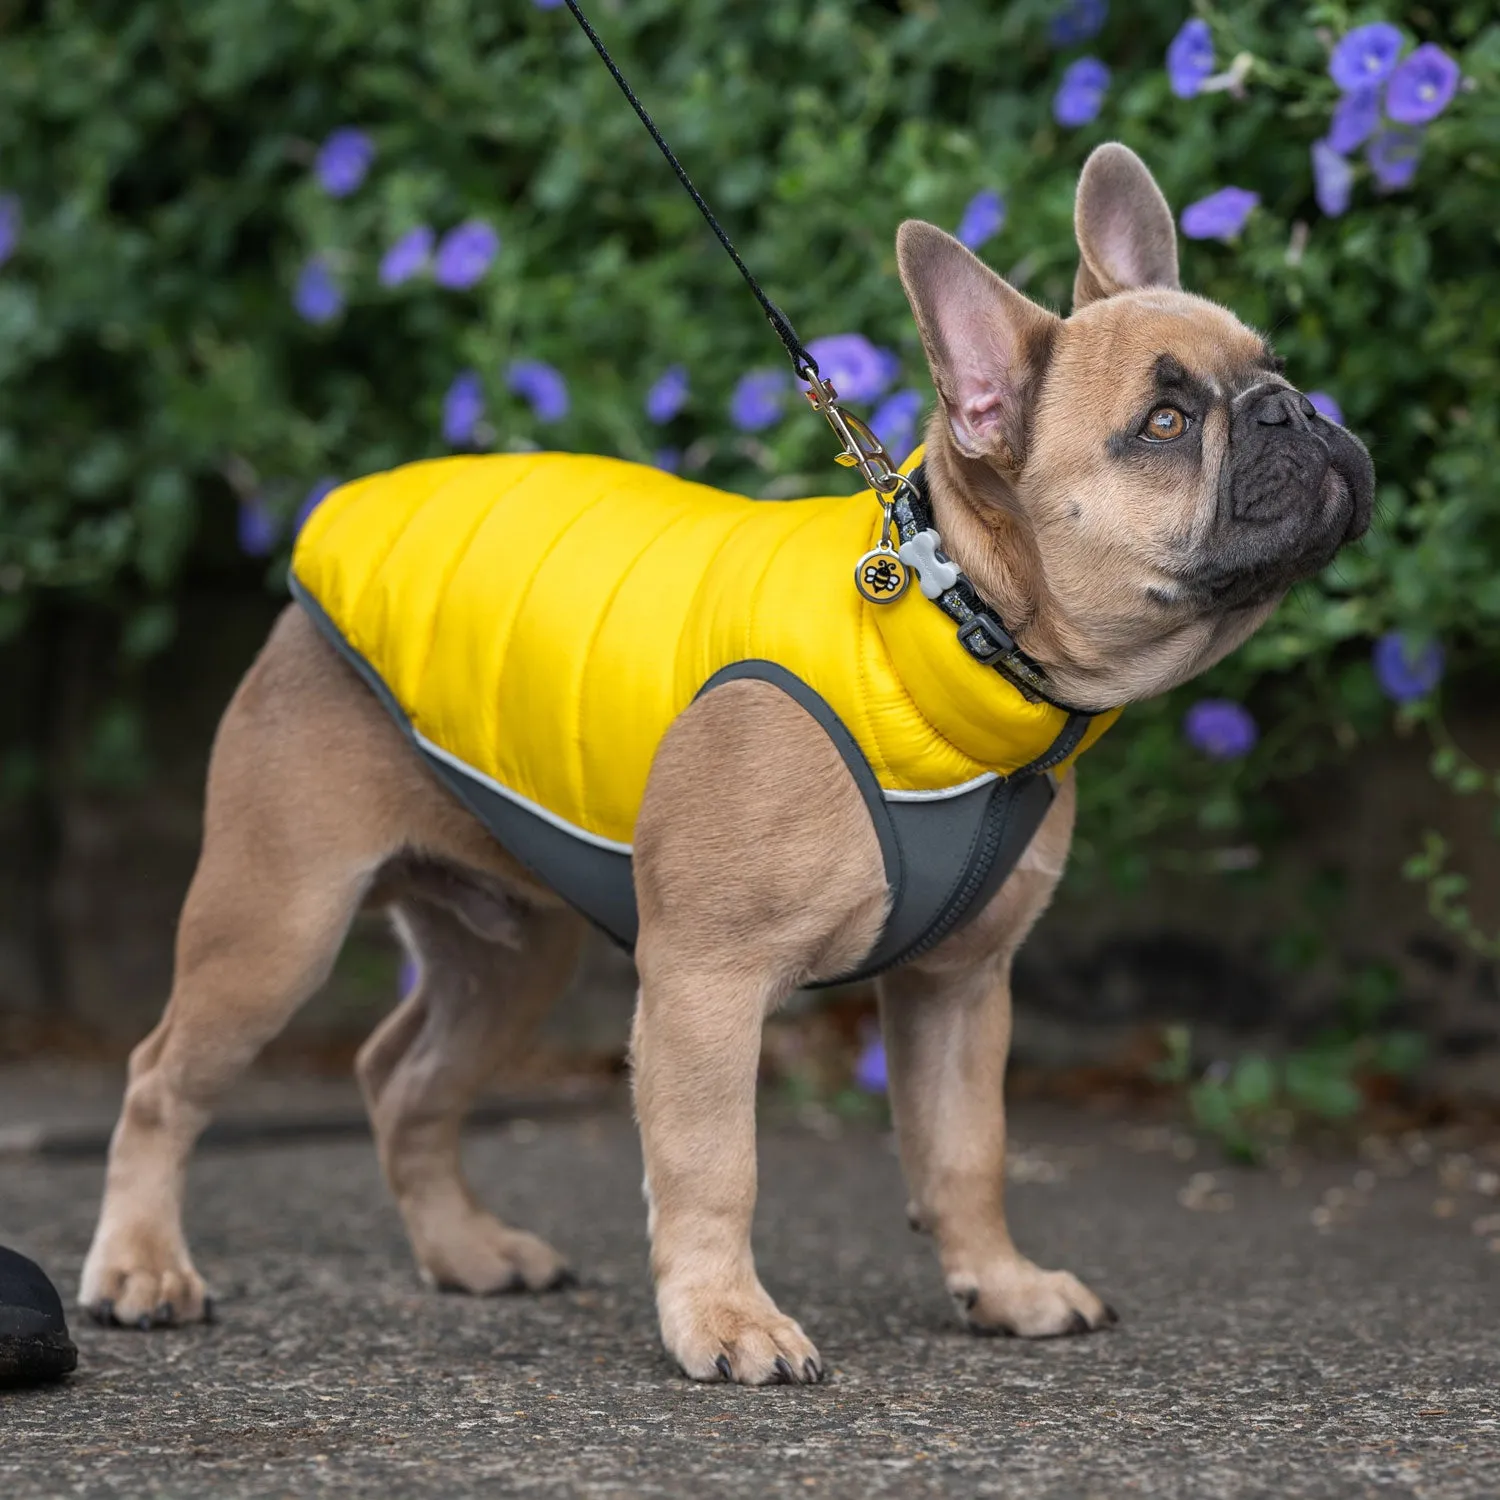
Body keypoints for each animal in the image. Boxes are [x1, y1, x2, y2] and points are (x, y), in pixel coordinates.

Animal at [79, 146, 1374, 1386]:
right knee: (160, 1078)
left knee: (405, 1078)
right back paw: (141, 1267)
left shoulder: (960, 988)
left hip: (514, 949)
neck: (949, 627)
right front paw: (726, 1321)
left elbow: (967, 1151)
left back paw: (466, 1251)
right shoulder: (706, 982)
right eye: (1164, 425)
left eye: (1276, 362)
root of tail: (330, 536)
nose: (1290, 409)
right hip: (277, 922)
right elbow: (715, 1167)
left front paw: (1003, 1288)